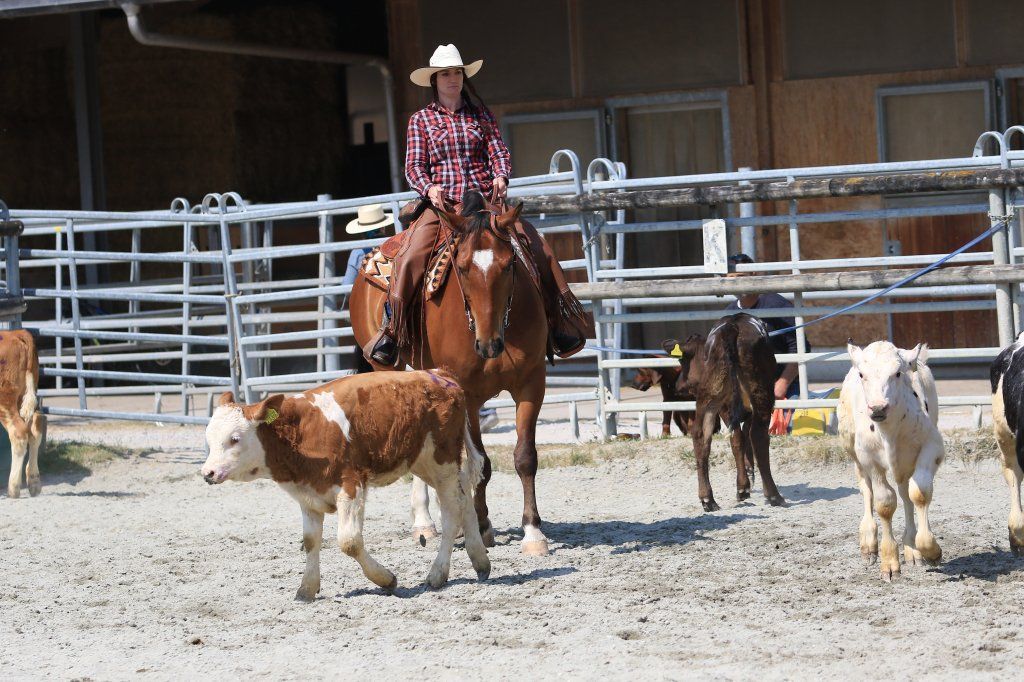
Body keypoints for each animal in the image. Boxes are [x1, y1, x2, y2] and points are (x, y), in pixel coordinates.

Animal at [349, 191, 553, 555]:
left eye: (509, 264)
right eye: (463, 267)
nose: (488, 345)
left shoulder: (532, 383)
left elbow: (525, 457)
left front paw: (533, 533)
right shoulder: (467, 394)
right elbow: (480, 464)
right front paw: (482, 527)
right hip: (389, 367)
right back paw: (426, 522)